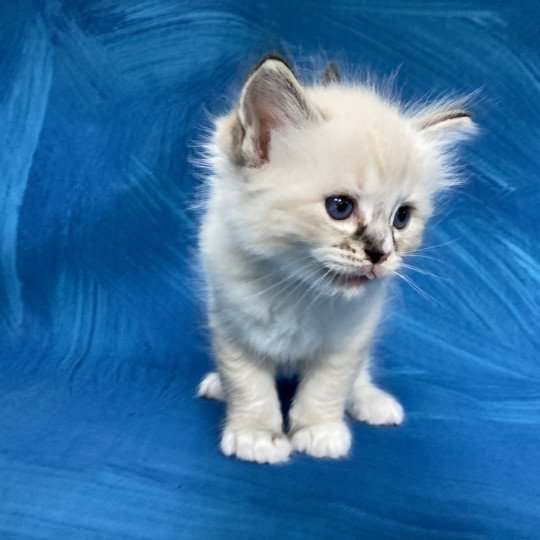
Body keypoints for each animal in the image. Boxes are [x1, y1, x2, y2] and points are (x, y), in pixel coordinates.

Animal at [196, 56, 474, 464]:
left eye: (401, 218)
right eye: (340, 207)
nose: (381, 254)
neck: (297, 291)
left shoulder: (350, 339)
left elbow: (327, 387)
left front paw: (319, 432)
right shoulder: (232, 326)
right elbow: (248, 385)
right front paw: (258, 436)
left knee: (360, 377)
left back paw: (371, 401)